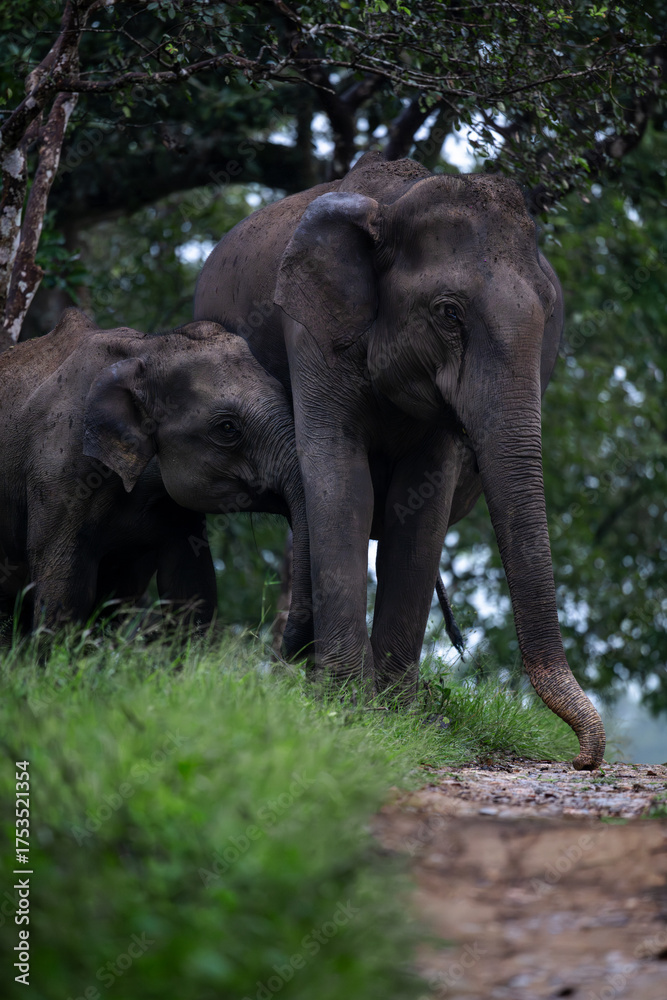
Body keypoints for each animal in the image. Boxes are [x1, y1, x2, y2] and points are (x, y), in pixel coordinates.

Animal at [0, 307, 311, 646]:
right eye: (228, 428)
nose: (288, 649)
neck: (145, 349)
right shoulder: (57, 472)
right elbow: (63, 587)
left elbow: (191, 584)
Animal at [194, 151, 605, 770]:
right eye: (449, 313)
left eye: (549, 318)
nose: (581, 760)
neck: (393, 205)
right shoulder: (311, 332)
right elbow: (342, 483)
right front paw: (346, 711)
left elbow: (421, 503)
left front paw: (396, 717)